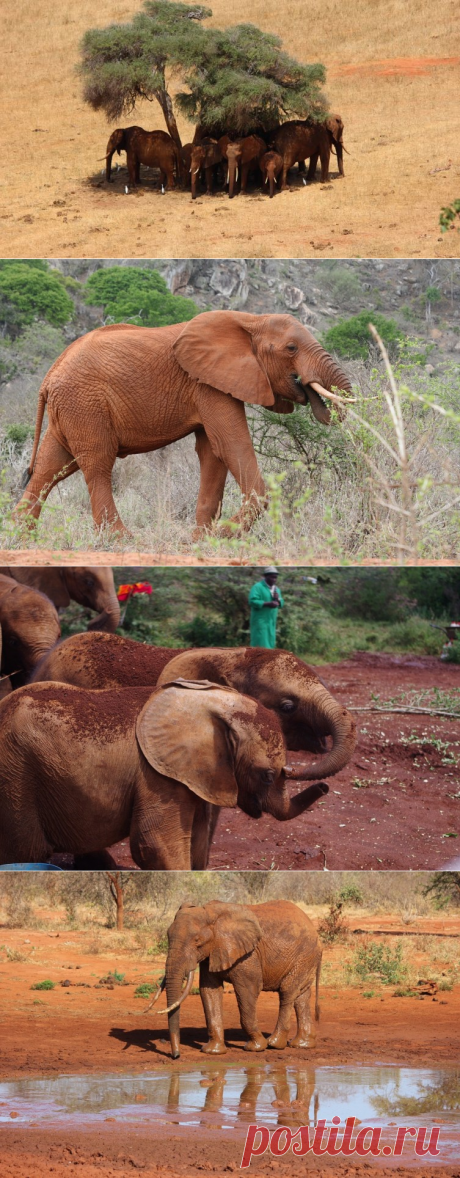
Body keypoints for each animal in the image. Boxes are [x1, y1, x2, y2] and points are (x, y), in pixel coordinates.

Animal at [0, 683, 327, 867]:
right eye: (267, 776)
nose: (324, 787)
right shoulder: (157, 775)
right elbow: (154, 844)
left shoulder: (195, 775)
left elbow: (197, 844)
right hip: (15, 774)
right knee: (27, 851)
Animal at [152, 899, 320, 1060]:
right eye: (168, 936)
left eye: (197, 940)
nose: (176, 1056)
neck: (211, 914)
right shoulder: (212, 951)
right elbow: (209, 991)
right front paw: (212, 1051)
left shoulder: (247, 955)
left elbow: (248, 989)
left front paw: (256, 1047)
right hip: (306, 959)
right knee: (301, 996)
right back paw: (301, 1044)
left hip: (303, 956)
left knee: (287, 991)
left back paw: (274, 1044)